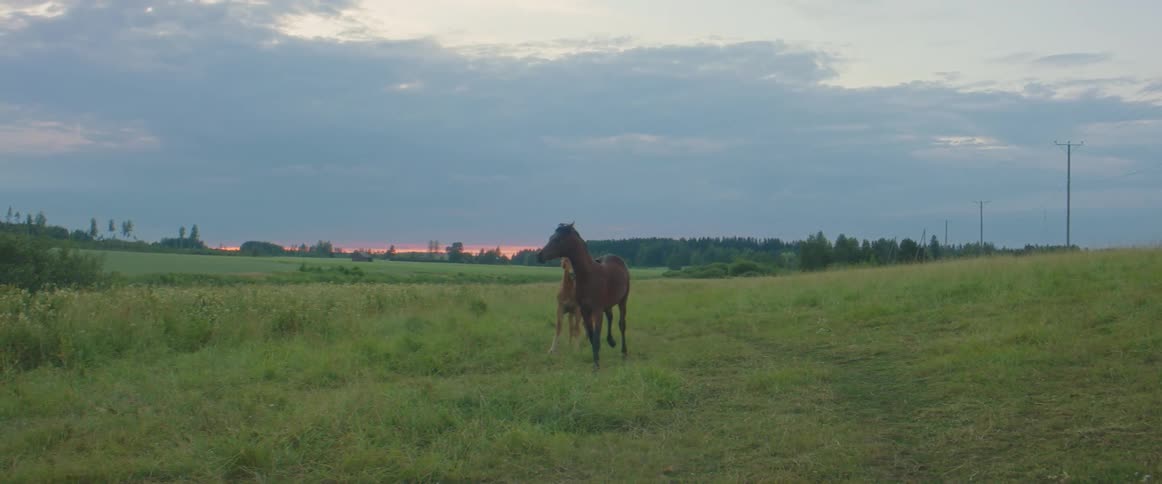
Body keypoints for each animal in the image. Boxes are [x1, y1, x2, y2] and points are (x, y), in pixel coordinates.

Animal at [537, 222, 630, 371]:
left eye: (558, 239)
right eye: (551, 237)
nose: (539, 256)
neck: (589, 276)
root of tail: (618, 259)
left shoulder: (596, 310)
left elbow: (595, 337)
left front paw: (596, 366)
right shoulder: (584, 310)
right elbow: (590, 336)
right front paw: (595, 360)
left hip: (623, 301)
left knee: (622, 324)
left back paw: (624, 352)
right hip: (607, 305)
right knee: (610, 317)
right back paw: (611, 341)